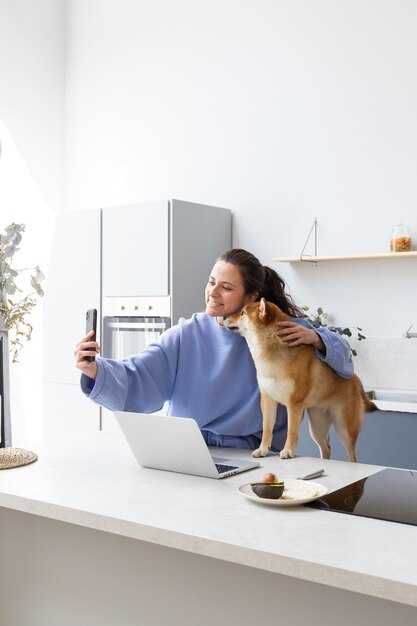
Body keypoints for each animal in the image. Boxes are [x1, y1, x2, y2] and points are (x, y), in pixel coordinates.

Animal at [224, 294, 376, 460]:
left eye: (242, 313)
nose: (224, 317)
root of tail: (356, 380)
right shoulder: (268, 400)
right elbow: (267, 429)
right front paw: (262, 449)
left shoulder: (294, 404)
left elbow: (291, 431)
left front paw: (288, 451)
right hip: (317, 425)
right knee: (326, 448)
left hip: (344, 427)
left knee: (351, 455)